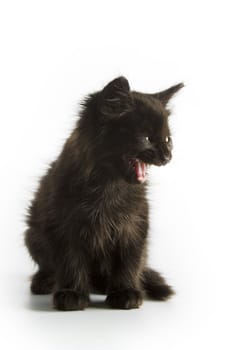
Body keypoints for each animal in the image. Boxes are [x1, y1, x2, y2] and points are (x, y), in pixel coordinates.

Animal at [24, 77, 183, 312]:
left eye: (167, 140)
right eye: (146, 138)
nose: (167, 156)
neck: (109, 186)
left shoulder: (134, 225)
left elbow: (129, 259)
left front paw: (126, 292)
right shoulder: (63, 225)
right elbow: (70, 260)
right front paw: (71, 294)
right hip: (32, 234)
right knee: (46, 265)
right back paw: (44, 281)